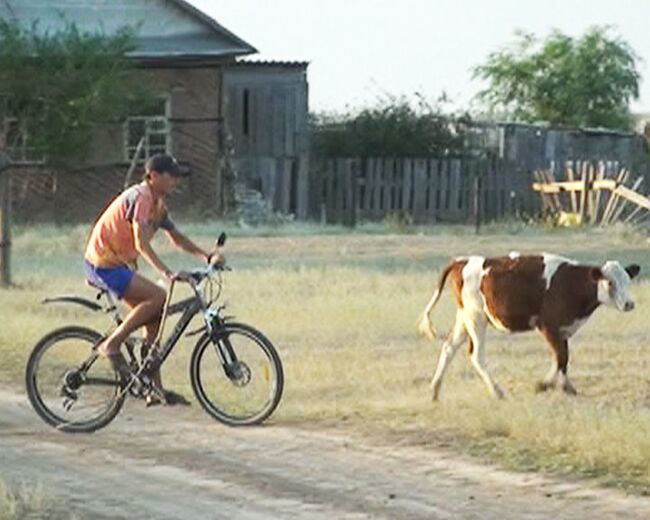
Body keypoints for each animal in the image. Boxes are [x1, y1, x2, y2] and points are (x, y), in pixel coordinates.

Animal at [416, 254, 636, 400]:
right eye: (610, 282)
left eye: (627, 281)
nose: (629, 304)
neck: (571, 284)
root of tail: (461, 261)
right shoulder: (548, 325)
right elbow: (561, 356)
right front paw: (543, 385)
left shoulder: (563, 330)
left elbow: (563, 358)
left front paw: (566, 387)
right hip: (476, 317)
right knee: (476, 355)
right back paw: (497, 391)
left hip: (464, 318)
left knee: (449, 347)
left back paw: (435, 390)